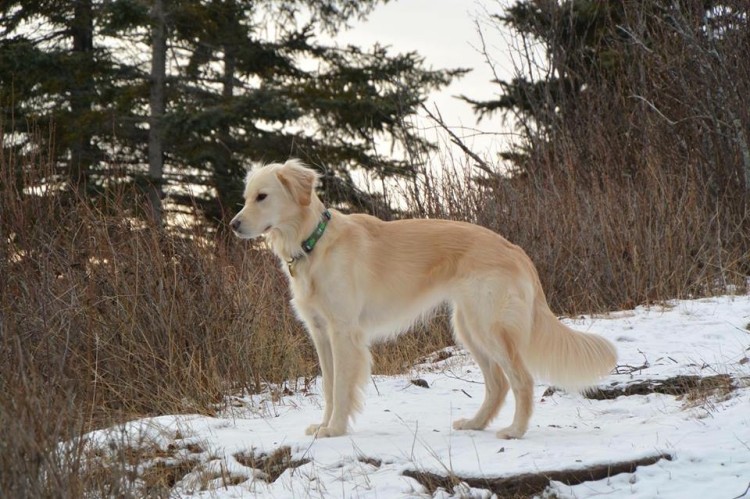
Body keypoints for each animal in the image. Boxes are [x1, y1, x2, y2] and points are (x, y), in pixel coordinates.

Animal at [229, 159, 616, 438]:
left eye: (262, 196)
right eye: (246, 197)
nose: (233, 225)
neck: (314, 241)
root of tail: (516, 250)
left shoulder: (343, 334)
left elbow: (341, 388)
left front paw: (335, 429)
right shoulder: (321, 334)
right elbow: (328, 385)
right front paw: (324, 426)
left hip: (489, 327)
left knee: (521, 380)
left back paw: (515, 431)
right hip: (468, 327)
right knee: (498, 384)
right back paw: (476, 424)